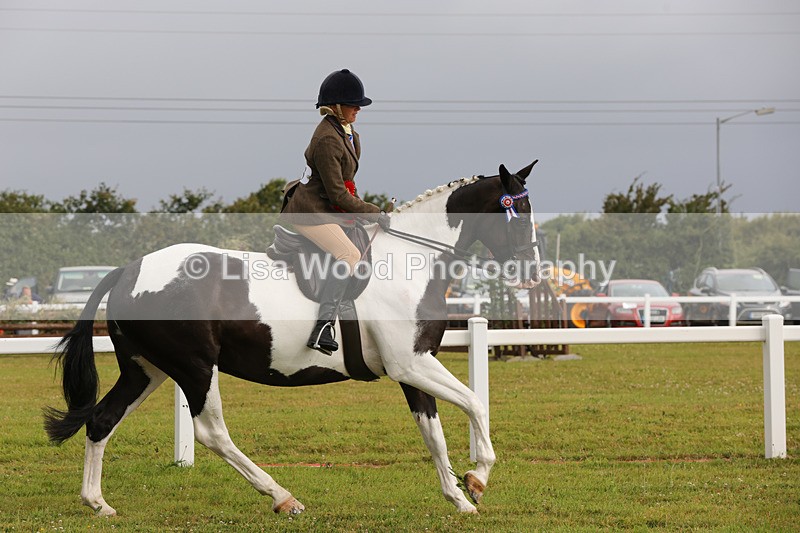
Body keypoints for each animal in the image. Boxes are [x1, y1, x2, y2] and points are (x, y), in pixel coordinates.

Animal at [44, 162, 541, 516]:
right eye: (517, 216)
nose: (532, 274)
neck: (410, 259)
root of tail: (129, 270)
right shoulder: (412, 363)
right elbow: (475, 403)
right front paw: (477, 479)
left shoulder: (414, 367)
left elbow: (434, 434)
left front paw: (458, 496)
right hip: (195, 368)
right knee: (212, 433)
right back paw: (283, 497)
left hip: (147, 370)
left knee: (102, 419)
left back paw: (97, 503)